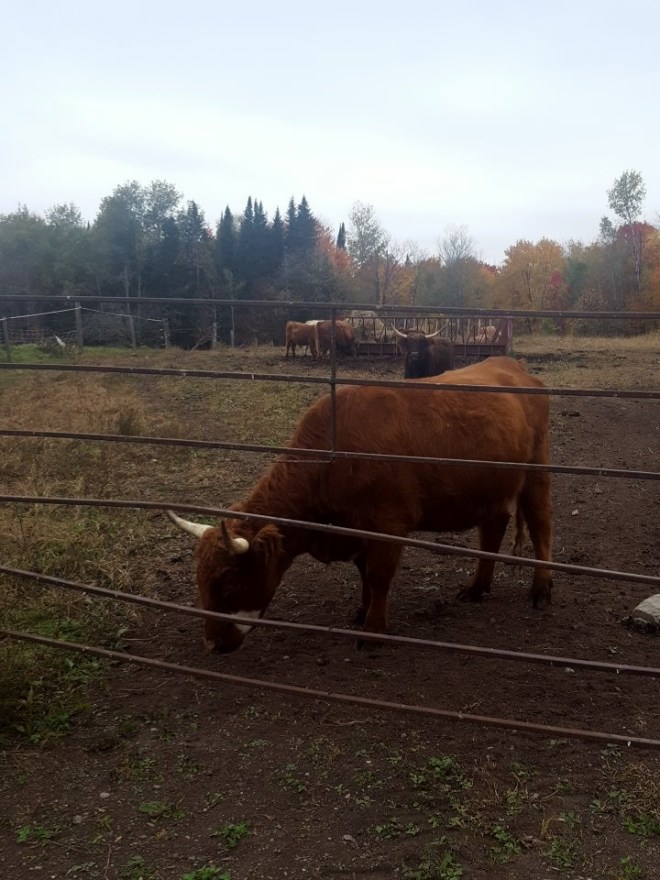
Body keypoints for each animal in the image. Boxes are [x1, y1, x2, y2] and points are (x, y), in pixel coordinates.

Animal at [167, 356, 553, 653]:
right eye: (200, 582)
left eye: (227, 583)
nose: (211, 645)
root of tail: (511, 365)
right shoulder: (358, 528)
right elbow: (364, 572)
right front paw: (362, 610)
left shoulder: (388, 523)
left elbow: (378, 575)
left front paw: (373, 630)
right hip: (491, 486)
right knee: (493, 527)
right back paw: (477, 587)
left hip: (536, 472)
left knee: (540, 526)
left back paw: (541, 589)